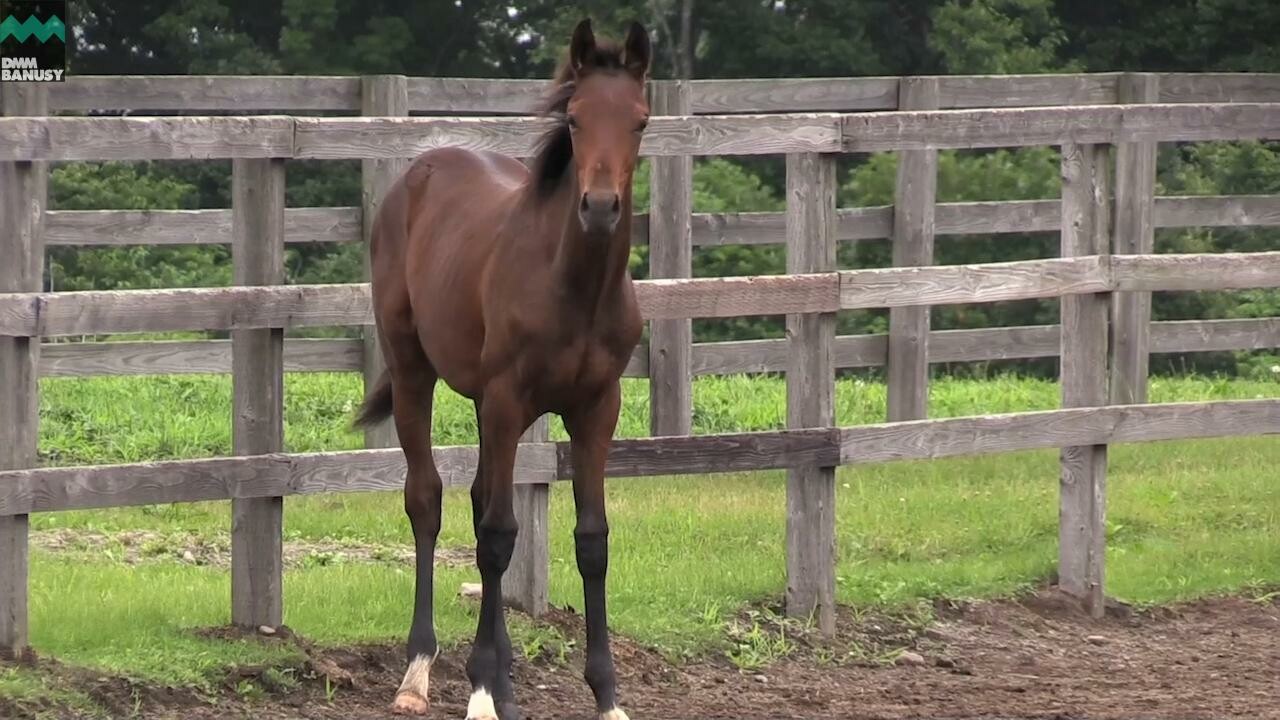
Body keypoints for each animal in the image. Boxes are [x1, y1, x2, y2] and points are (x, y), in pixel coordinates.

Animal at [350, 16, 650, 717]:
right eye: (574, 119)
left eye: (640, 121)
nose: (600, 206)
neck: (574, 289)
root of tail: (422, 169)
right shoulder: (511, 399)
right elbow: (498, 535)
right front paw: (484, 689)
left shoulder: (597, 409)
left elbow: (590, 539)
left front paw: (606, 694)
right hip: (415, 373)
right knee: (428, 500)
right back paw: (420, 672)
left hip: (483, 403)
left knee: (477, 499)